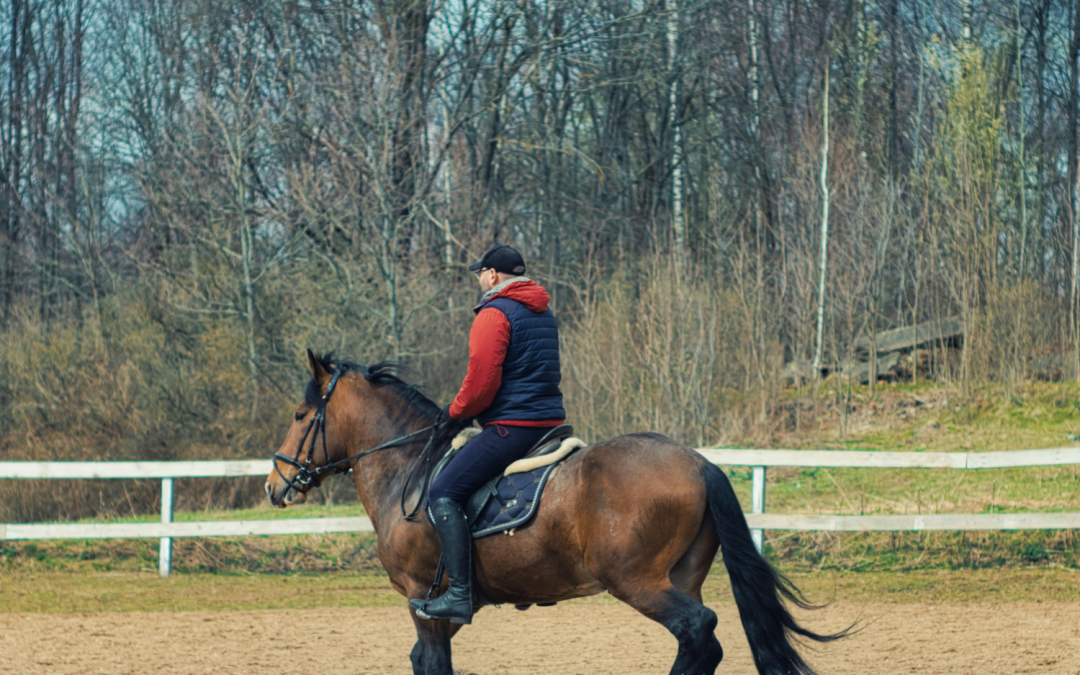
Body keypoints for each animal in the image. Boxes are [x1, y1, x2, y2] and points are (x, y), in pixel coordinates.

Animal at [265, 351, 850, 675]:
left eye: (299, 415)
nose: (275, 485)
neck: (409, 464)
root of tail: (697, 460)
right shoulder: (440, 611)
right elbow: (420, 661)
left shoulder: (422, 600)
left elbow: (432, 665)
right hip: (680, 575)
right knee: (704, 642)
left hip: (636, 581)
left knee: (697, 631)